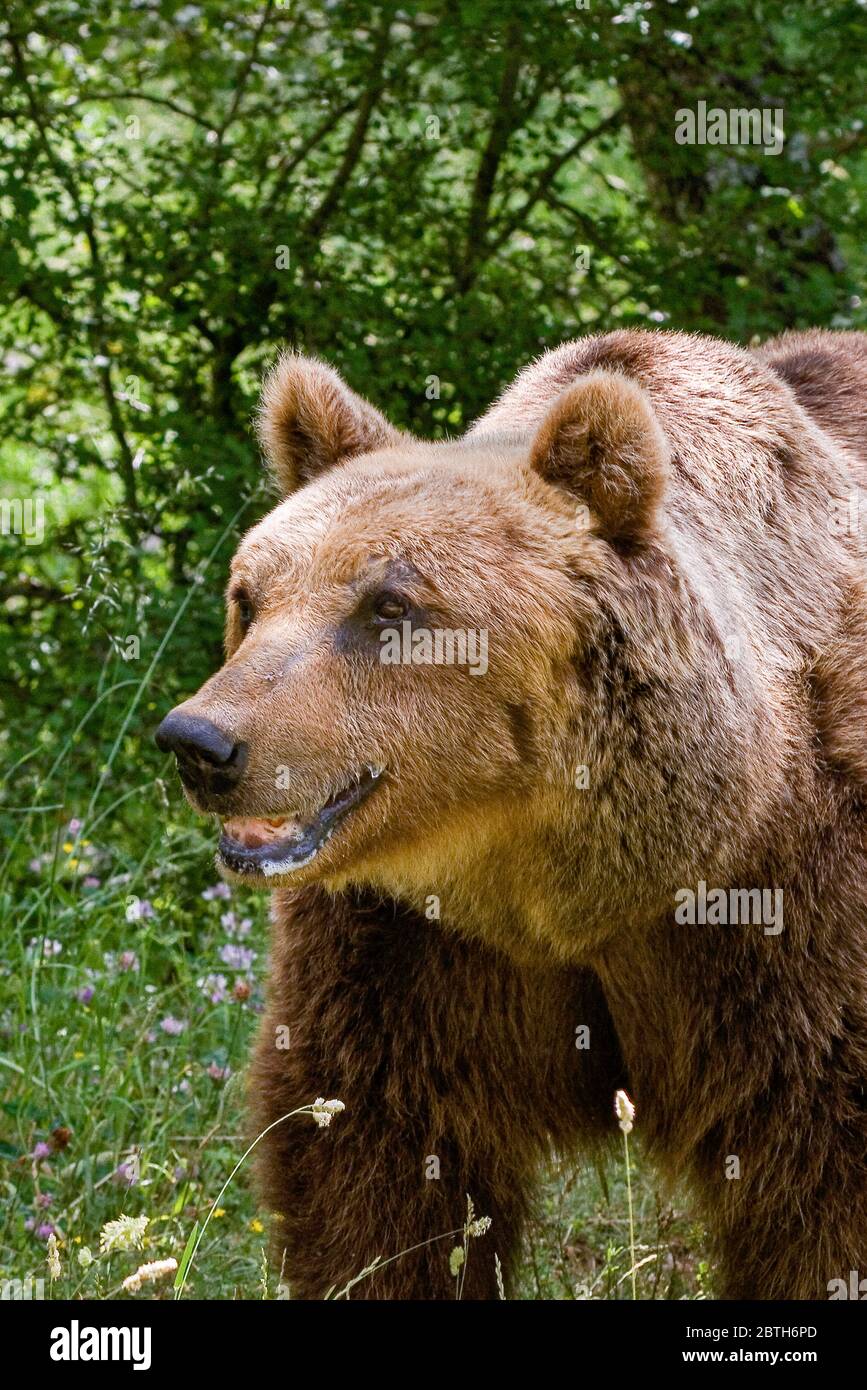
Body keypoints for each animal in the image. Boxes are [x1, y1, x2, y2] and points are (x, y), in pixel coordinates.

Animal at [157, 328, 867, 1301]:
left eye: (388, 605)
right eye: (249, 597)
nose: (201, 743)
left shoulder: (795, 900)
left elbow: (822, 1173)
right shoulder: (409, 948)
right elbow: (378, 1163)